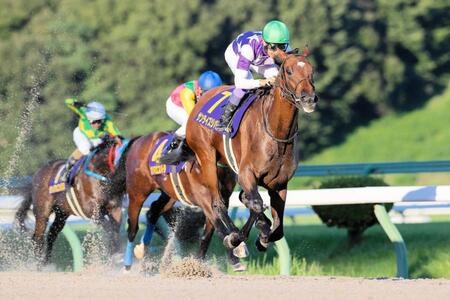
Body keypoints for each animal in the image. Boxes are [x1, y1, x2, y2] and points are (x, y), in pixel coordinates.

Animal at [185, 48, 318, 251]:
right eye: (289, 71)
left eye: (312, 70)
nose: (309, 99)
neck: (276, 132)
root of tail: (202, 100)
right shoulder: (246, 174)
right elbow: (256, 204)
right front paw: (240, 236)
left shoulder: (279, 184)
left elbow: (277, 228)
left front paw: (263, 236)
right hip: (207, 158)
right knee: (218, 203)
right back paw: (232, 236)